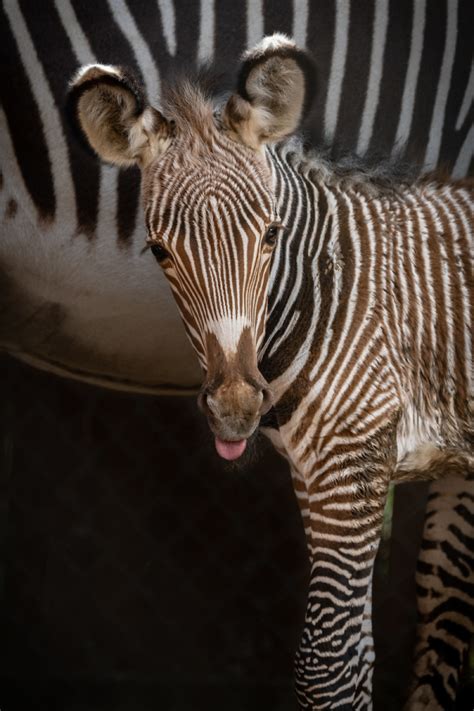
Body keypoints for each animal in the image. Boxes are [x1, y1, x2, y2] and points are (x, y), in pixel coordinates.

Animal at [1, 1, 472, 711]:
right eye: (158, 250)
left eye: (271, 233)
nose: (233, 408)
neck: (334, 287)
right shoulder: (328, 475)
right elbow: (353, 658)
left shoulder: (357, 467)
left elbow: (357, 656)